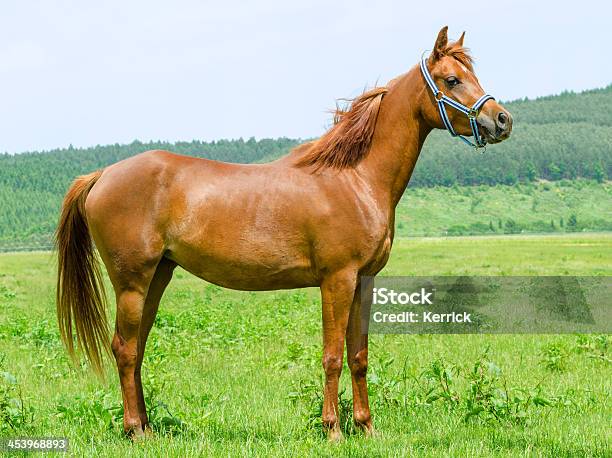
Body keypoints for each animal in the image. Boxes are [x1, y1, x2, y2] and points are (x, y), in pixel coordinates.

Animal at [55, 26, 512, 440]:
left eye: (472, 74)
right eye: (452, 80)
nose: (502, 120)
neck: (355, 178)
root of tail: (102, 175)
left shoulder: (364, 280)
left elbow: (359, 355)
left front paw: (366, 427)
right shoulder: (337, 280)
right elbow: (332, 355)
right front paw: (333, 430)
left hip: (158, 277)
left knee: (138, 349)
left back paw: (148, 427)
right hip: (132, 282)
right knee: (125, 348)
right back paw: (135, 429)